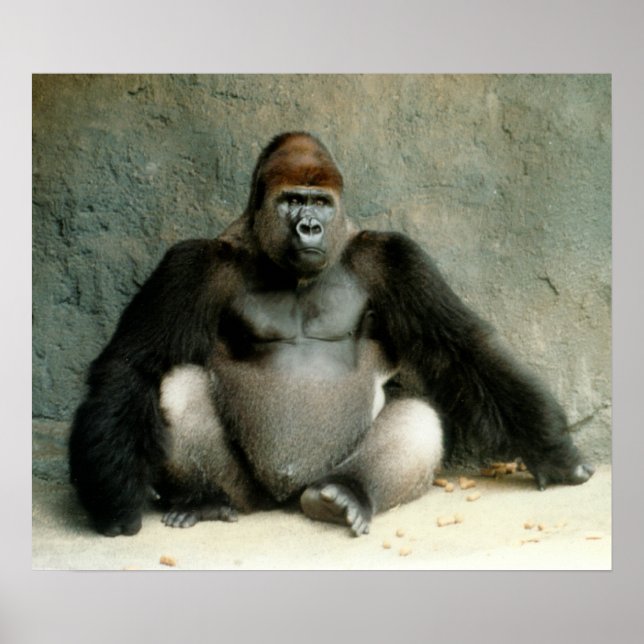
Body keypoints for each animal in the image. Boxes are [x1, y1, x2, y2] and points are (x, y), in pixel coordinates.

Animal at [68, 132, 594, 537]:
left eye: (320, 202)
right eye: (291, 200)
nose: (309, 227)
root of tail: (284, 498)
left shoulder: (395, 258)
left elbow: (460, 346)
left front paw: (552, 450)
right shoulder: (192, 263)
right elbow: (134, 364)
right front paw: (114, 499)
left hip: (325, 471)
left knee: (418, 417)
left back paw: (345, 494)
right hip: (249, 492)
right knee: (176, 388)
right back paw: (205, 498)